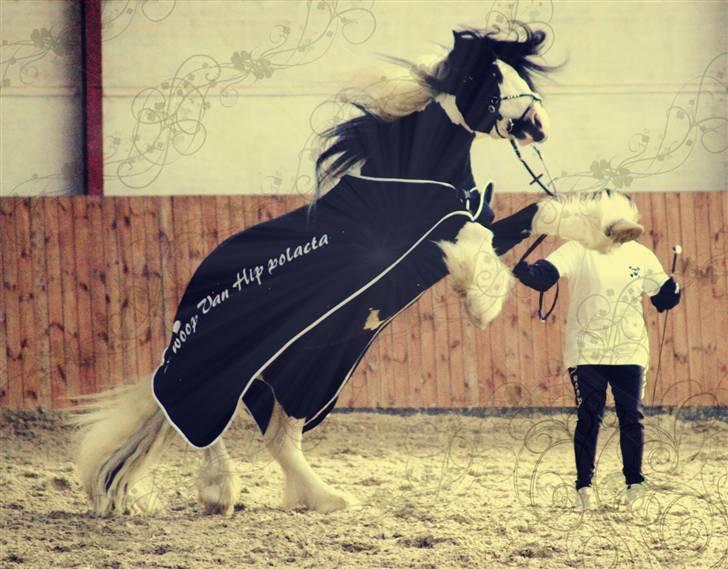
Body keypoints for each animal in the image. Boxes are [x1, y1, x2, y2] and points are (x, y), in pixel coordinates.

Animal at [75, 25, 644, 516]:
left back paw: (322, 499)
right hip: (229, 369)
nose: (537, 125)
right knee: (199, 420)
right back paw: (223, 492)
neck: (413, 172)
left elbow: (536, 213)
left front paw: (614, 227)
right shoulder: (415, 242)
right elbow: (474, 237)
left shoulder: (467, 224)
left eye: (520, 73)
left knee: (277, 435)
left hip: (309, 371)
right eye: (487, 78)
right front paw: (483, 300)